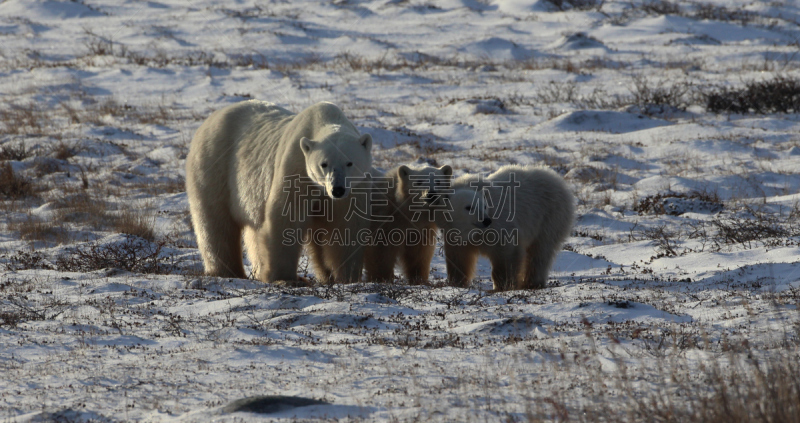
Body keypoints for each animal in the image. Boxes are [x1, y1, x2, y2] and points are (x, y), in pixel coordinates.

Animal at [186, 100, 374, 284]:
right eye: (324, 164)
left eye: (349, 163)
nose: (337, 189)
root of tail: (210, 120)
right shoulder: (296, 168)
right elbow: (286, 216)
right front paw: (284, 277)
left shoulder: (353, 188)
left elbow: (346, 225)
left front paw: (346, 277)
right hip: (214, 166)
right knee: (215, 222)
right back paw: (227, 271)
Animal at [434, 166, 572, 292]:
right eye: (469, 207)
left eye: (484, 206)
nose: (486, 220)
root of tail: (557, 179)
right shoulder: (454, 234)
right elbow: (459, 258)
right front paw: (456, 283)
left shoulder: (499, 224)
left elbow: (506, 253)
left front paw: (503, 285)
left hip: (549, 216)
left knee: (540, 251)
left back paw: (532, 283)